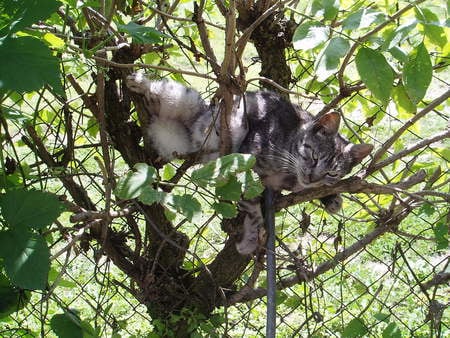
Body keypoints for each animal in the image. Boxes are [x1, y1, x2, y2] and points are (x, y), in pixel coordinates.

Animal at [124, 72, 372, 255]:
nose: (312, 177)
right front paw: (251, 239)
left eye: (332, 173)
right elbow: (253, 211)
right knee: (164, 93)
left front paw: (331, 197)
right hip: (192, 104)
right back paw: (139, 83)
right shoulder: (247, 170)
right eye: (314, 156)